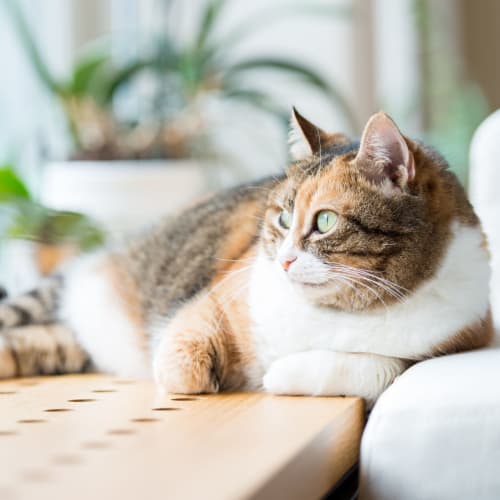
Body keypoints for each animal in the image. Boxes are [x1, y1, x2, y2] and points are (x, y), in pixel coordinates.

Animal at [0, 109, 492, 402]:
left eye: (325, 221)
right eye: (283, 217)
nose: (286, 260)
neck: (334, 312)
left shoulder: (461, 336)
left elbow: (381, 368)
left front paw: (278, 375)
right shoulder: (216, 297)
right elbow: (182, 363)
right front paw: (209, 374)